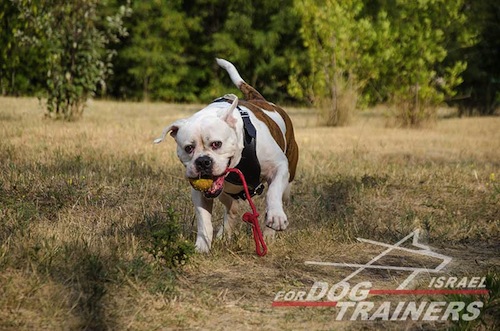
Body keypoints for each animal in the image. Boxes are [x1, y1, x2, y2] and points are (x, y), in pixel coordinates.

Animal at [154, 58, 298, 253]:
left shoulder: (279, 166)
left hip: (289, 176)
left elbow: (273, 192)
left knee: (279, 195)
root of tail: (261, 100)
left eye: (217, 144)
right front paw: (202, 246)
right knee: (231, 208)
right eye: (189, 148)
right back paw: (224, 233)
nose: (203, 161)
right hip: (226, 192)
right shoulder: (200, 193)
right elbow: (203, 220)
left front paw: (275, 216)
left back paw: (269, 232)